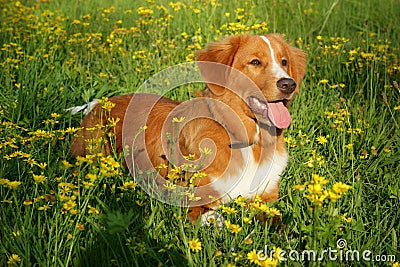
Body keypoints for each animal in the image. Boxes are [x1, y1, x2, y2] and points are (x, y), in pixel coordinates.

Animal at [70, 34, 306, 224]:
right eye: (255, 62)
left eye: (284, 62)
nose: (288, 84)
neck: (247, 141)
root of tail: (100, 102)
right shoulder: (187, 197)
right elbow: (214, 217)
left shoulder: (267, 196)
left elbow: (278, 221)